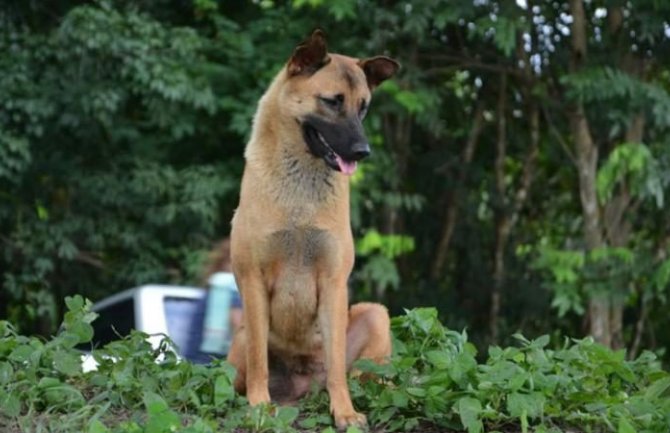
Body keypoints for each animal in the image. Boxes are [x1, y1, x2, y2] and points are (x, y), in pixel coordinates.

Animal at [228, 30, 402, 428]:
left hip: (375, 315)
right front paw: (260, 407)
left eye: (363, 107)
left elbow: (338, 368)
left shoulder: (334, 282)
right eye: (332, 102)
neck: (300, 195)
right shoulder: (253, 279)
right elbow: (259, 363)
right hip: (240, 336)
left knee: (365, 375)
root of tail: (304, 386)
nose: (363, 152)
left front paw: (345, 412)